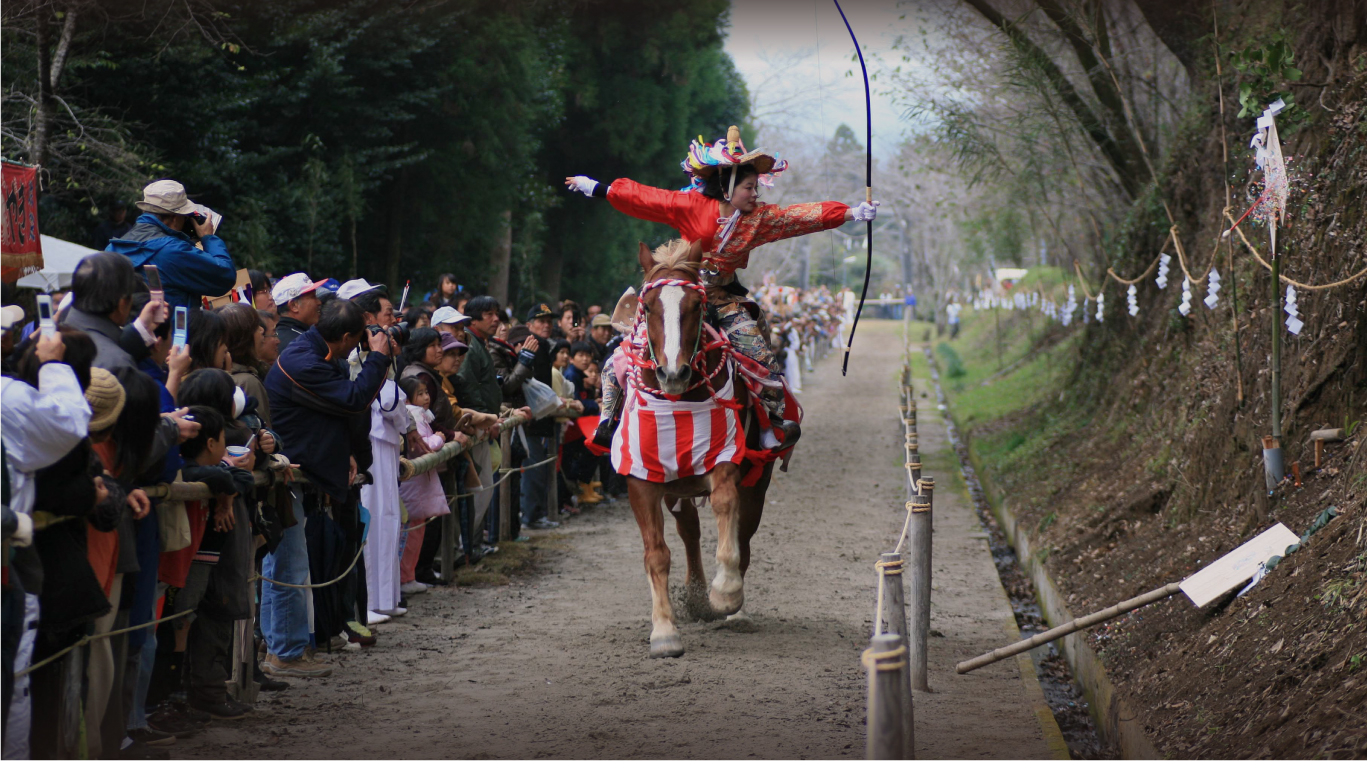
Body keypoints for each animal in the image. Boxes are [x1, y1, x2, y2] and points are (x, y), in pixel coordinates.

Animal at [615, 239, 776, 658]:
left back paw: (731, 610)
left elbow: (724, 505)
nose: (673, 373)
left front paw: (726, 593)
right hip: (677, 484)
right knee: (688, 529)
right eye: (647, 307)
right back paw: (696, 595)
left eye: (696, 305)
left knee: (744, 533)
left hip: (758, 478)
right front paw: (664, 632)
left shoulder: (724, 456)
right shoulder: (641, 475)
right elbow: (656, 554)